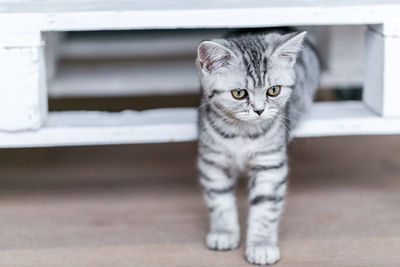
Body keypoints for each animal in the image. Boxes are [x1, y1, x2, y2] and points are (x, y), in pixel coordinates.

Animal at [195, 29, 320, 266]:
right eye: (239, 93)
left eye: (274, 90)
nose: (260, 110)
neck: (242, 134)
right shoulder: (213, 161)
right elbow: (219, 200)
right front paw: (224, 233)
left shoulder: (270, 165)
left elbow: (265, 209)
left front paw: (261, 246)